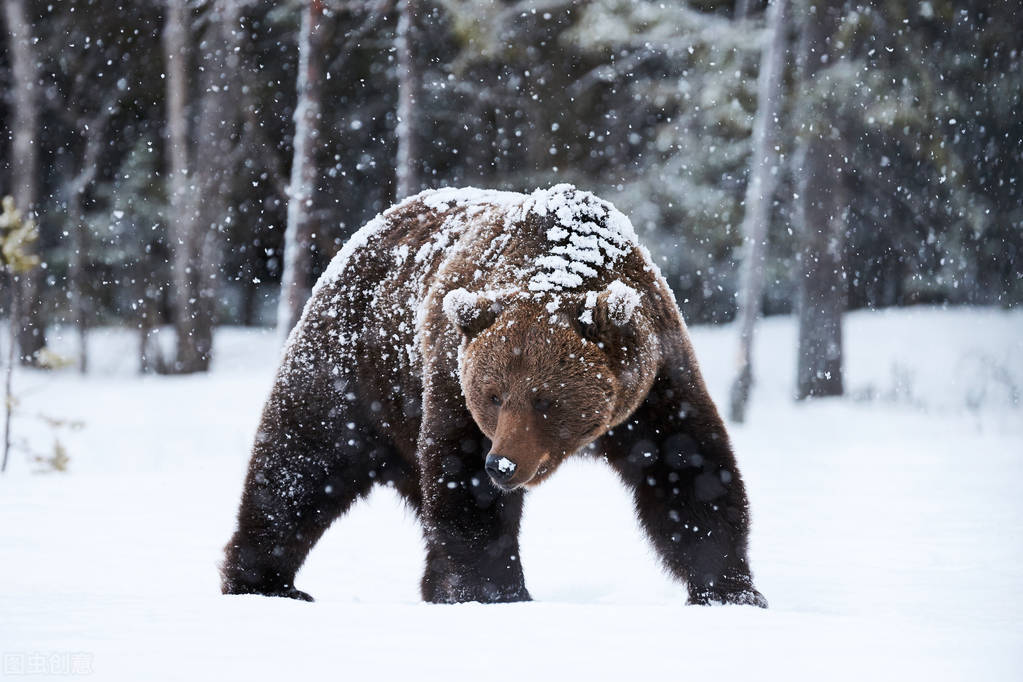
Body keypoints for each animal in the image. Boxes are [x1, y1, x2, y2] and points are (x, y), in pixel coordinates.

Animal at [226, 184, 769, 605]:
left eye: (545, 399)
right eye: (493, 396)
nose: (503, 464)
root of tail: (368, 231)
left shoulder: (655, 382)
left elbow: (689, 471)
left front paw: (731, 589)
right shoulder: (450, 374)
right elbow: (465, 487)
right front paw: (497, 591)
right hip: (357, 368)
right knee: (301, 462)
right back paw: (266, 582)